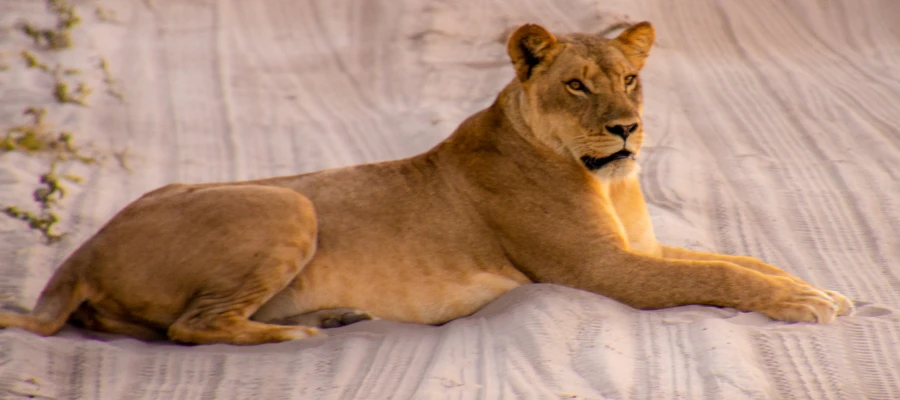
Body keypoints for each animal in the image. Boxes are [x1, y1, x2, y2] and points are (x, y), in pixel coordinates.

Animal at [0, 22, 853, 345]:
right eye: (578, 85)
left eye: (631, 79)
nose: (626, 129)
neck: (607, 182)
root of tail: (78, 254)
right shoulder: (605, 270)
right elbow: (719, 275)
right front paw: (809, 304)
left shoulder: (639, 248)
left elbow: (741, 260)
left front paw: (818, 288)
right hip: (288, 200)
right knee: (191, 328)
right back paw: (303, 333)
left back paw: (334, 315)